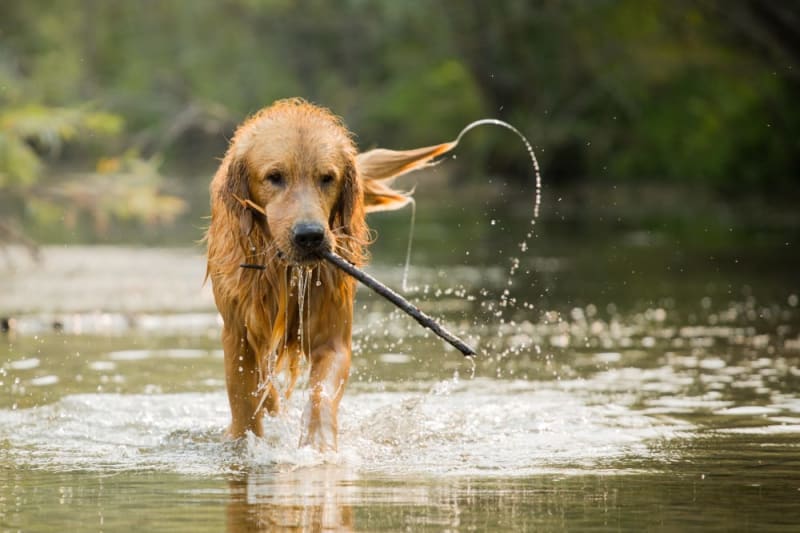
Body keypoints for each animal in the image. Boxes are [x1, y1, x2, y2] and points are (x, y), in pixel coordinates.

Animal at [206, 97, 456, 446]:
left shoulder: (332, 336)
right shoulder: (238, 337)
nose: (310, 236)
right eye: (274, 177)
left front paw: (318, 445)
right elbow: (244, 409)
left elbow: (321, 393)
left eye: (327, 178)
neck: (286, 273)